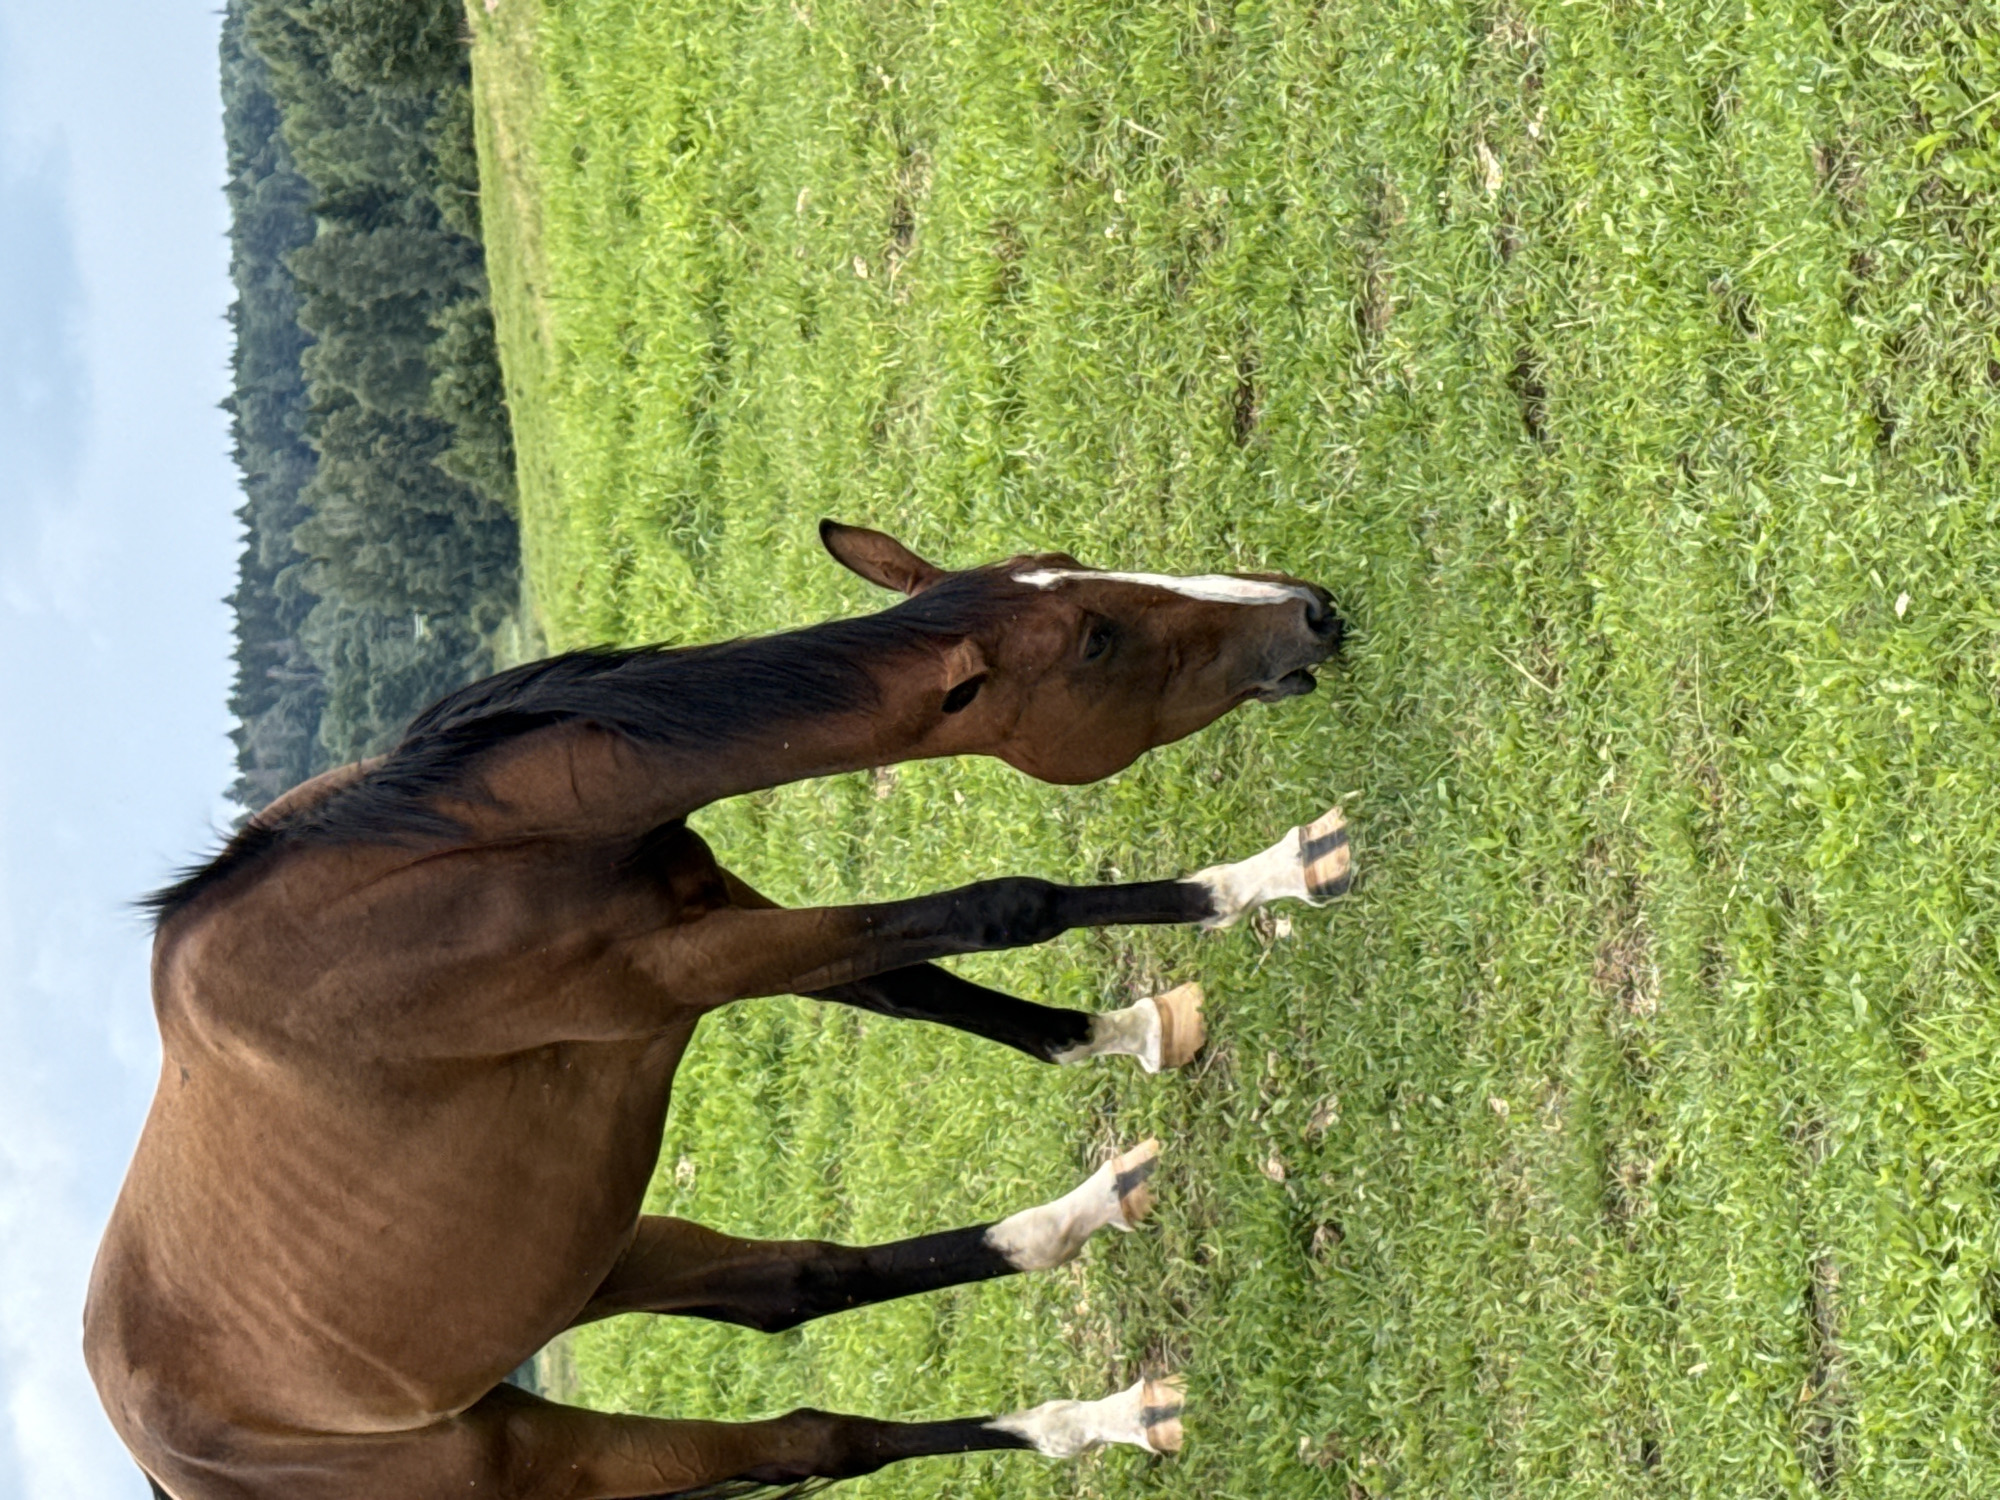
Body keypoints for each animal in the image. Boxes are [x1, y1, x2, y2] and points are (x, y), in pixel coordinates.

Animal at [86, 521, 1351, 1499]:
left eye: (1070, 563)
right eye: (1097, 639)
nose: (1310, 610)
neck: (442, 856)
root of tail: (161, 1460)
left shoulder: (718, 908)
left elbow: (921, 986)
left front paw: (1150, 1013)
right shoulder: (678, 971)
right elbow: (998, 908)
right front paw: (1259, 879)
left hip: (604, 1264)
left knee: (796, 1295)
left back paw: (1085, 1261)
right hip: (531, 1462)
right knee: (814, 1443)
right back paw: (1105, 1407)